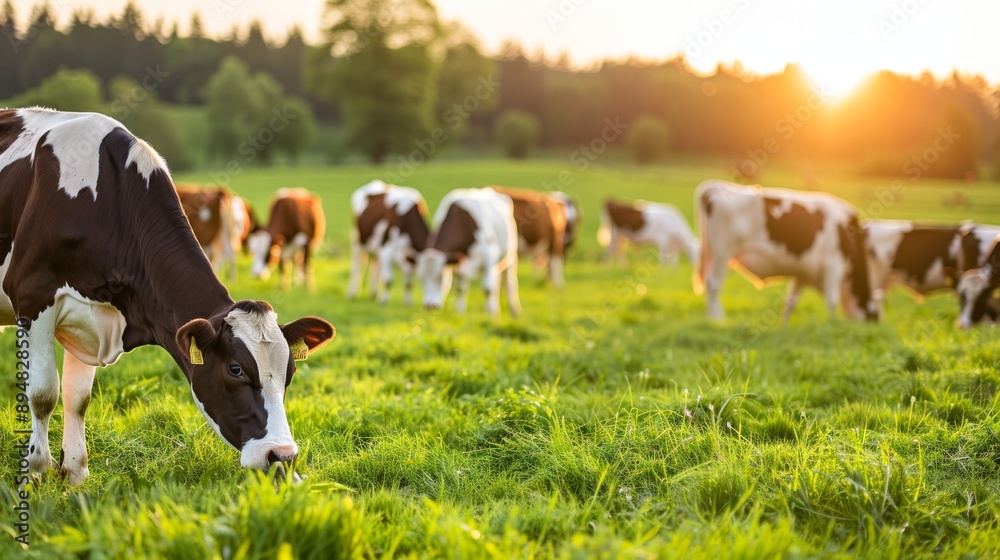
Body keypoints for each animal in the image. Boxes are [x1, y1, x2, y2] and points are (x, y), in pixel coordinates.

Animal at [0, 108, 335, 484]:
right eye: (235, 369)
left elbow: (78, 398)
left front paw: (74, 473)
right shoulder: (32, 295)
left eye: (290, 370)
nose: (282, 456)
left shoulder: (91, 318)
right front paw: (35, 473)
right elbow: (43, 393)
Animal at [416, 188, 521, 316]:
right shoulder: (459, 264)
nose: (431, 306)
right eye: (421, 279)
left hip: (511, 256)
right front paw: (460, 313)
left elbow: (488, 288)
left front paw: (490, 316)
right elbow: (461, 289)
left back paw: (513, 311)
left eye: (442, 277)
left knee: (510, 284)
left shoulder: (490, 255)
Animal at [694, 179, 877, 322]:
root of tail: (717, 187)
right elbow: (832, 300)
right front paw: (833, 323)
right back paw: (717, 319)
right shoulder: (834, 264)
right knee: (713, 284)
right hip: (722, 252)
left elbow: (790, 302)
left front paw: (785, 325)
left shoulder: (803, 274)